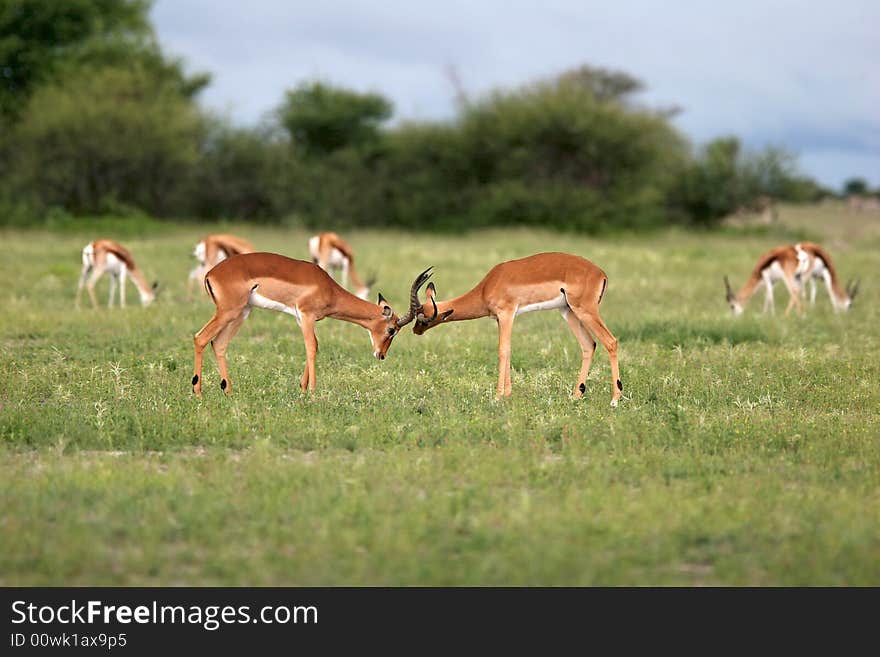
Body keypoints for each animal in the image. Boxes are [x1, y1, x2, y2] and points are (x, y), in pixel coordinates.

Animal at [191, 251, 432, 394]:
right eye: (392, 330)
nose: (380, 355)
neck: (328, 288)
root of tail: (211, 273)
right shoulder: (307, 315)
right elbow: (312, 347)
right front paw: (313, 393)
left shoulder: (301, 318)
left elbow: (314, 345)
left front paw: (302, 388)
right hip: (228, 312)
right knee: (200, 338)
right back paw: (197, 392)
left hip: (242, 312)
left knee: (218, 344)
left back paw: (228, 392)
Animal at [402, 252, 624, 402]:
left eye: (423, 319)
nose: (416, 330)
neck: (487, 286)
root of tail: (601, 274)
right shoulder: (501, 319)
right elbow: (507, 351)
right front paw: (507, 393)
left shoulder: (506, 314)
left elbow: (503, 350)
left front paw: (498, 395)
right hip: (568, 311)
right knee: (589, 345)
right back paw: (576, 395)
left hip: (585, 310)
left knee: (610, 341)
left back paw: (615, 399)